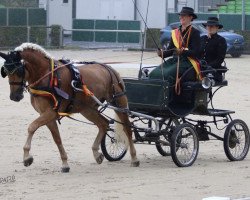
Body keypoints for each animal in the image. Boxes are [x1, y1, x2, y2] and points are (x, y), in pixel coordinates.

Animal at [0, 42, 139, 172]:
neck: (48, 75)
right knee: (103, 123)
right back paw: (96, 153)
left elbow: (32, 127)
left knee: (127, 128)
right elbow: (57, 138)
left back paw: (134, 158)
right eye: (5, 72)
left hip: (119, 102)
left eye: (19, 71)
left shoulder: (51, 113)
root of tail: (109, 68)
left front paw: (27, 157)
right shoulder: (47, 114)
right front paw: (65, 163)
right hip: (87, 109)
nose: (14, 96)